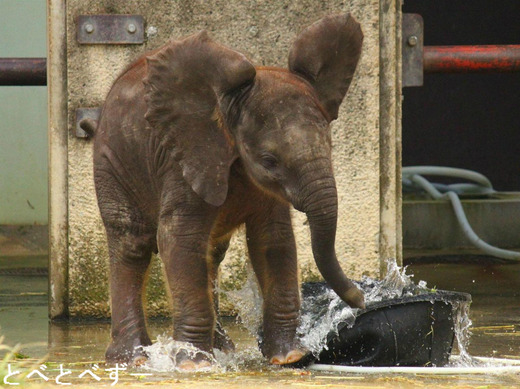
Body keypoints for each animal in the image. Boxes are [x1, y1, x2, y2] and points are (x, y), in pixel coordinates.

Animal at [89, 13, 364, 368]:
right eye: (269, 160)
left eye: (330, 146)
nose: (360, 299)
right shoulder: (184, 161)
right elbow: (179, 239)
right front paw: (193, 363)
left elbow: (274, 242)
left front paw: (289, 356)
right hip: (112, 162)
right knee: (131, 243)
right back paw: (133, 358)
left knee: (212, 254)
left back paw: (223, 350)